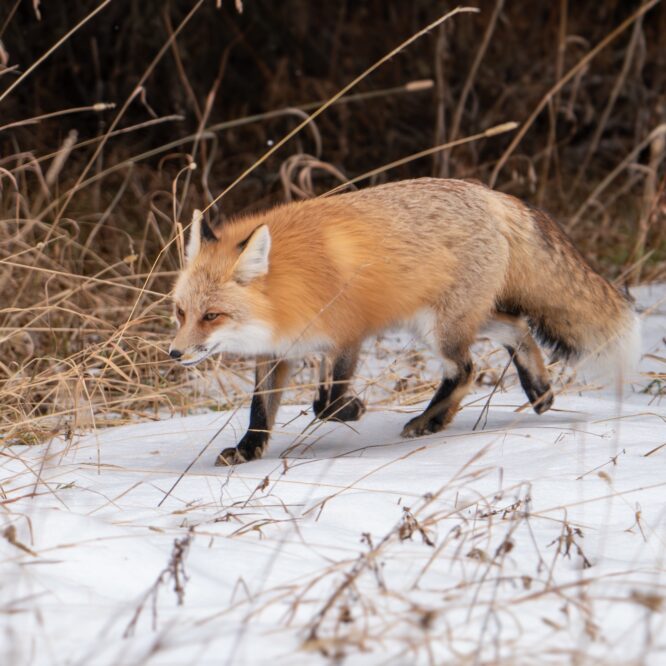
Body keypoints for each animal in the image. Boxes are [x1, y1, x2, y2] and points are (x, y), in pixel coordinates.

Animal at [169, 178, 640, 465]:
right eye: (181, 312)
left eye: (212, 316)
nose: (174, 353)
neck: (288, 288)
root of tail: (492, 196)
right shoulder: (276, 351)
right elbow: (260, 408)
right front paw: (248, 449)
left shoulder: (348, 334)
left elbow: (328, 402)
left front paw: (354, 409)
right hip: (451, 319)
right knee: (517, 328)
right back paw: (538, 391)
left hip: (440, 328)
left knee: (467, 369)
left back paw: (429, 421)